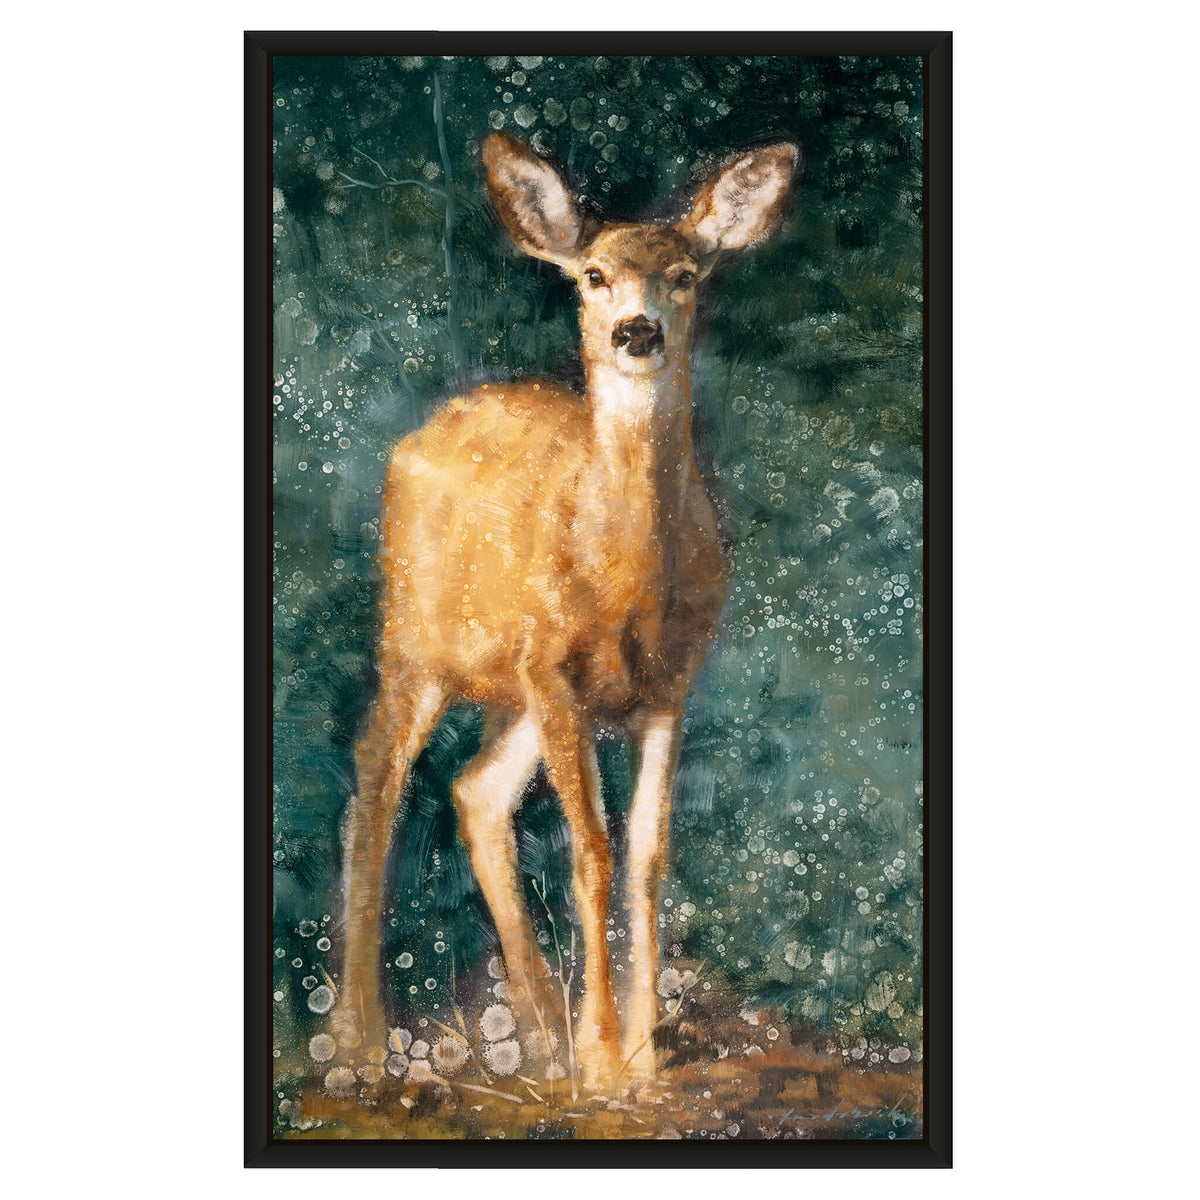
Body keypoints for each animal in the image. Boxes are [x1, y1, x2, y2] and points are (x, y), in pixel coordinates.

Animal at [333, 131, 799, 1088]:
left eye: (686, 274)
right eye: (592, 274)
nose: (637, 331)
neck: (626, 579)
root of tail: (426, 427)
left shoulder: (667, 689)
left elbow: (648, 856)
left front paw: (644, 1055)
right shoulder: (557, 675)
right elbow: (591, 852)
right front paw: (603, 1056)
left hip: (512, 688)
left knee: (474, 792)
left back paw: (538, 1030)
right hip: (418, 642)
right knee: (375, 779)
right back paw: (364, 1038)